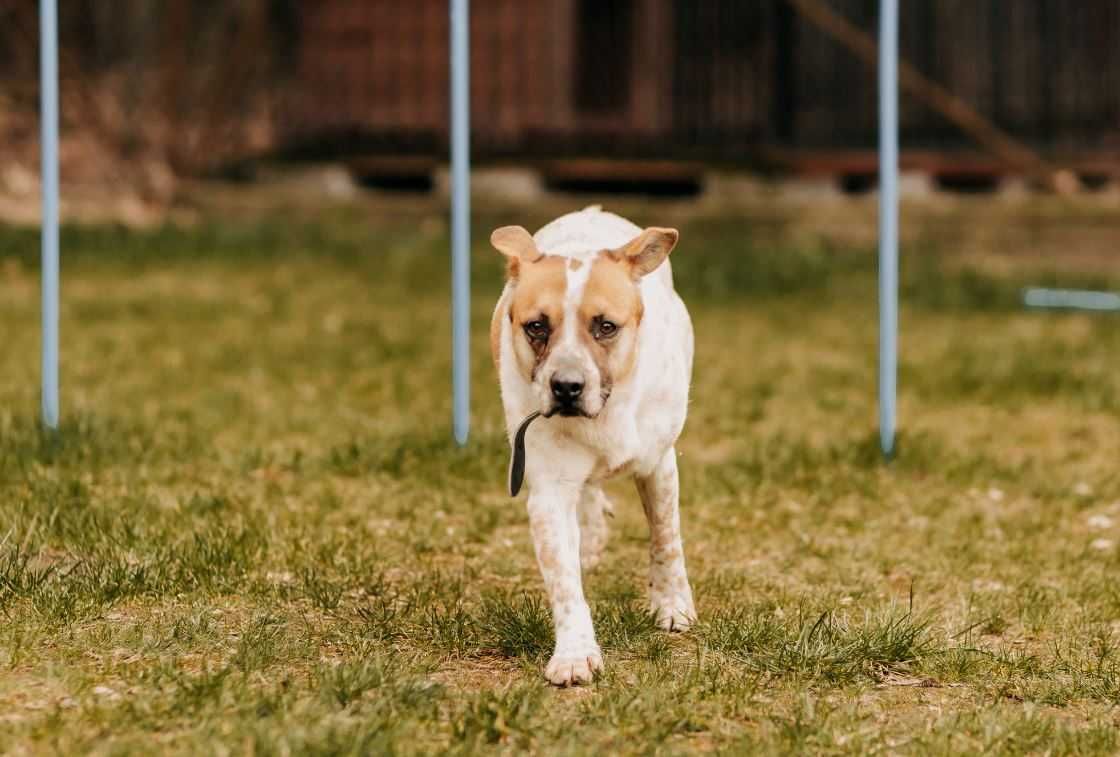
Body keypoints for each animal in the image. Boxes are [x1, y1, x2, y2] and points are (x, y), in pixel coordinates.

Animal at [488, 207, 694, 685]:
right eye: (536, 326)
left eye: (605, 326)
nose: (566, 387)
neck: (605, 411)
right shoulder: (548, 486)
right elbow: (564, 580)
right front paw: (574, 654)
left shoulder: (658, 462)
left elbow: (666, 536)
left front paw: (672, 605)